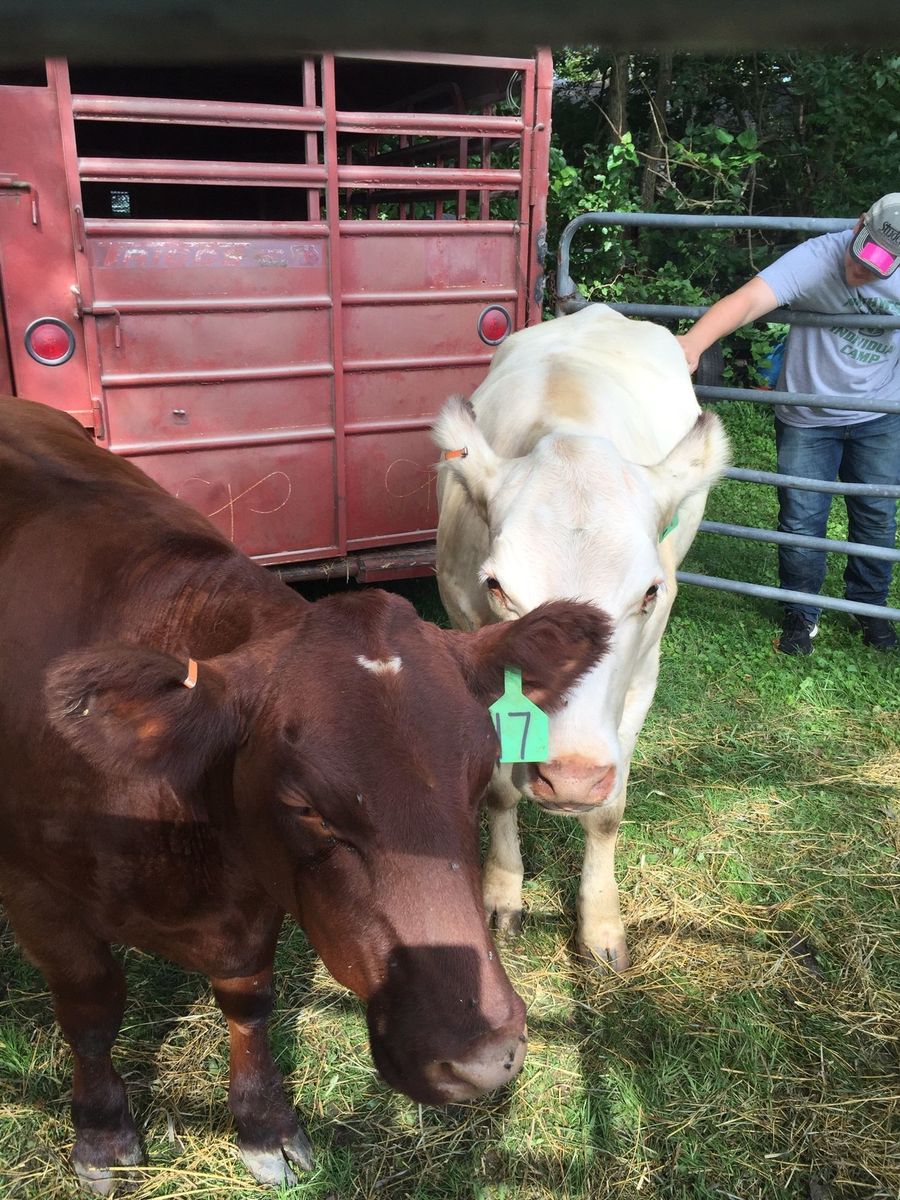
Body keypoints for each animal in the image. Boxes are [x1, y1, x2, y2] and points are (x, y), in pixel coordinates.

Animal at [0, 394, 611, 1194]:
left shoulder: (254, 897)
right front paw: (102, 1133)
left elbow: (248, 1000)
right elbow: (92, 1009)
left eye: (480, 777)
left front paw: (264, 1124)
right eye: (306, 808)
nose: (483, 1058)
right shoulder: (36, 897)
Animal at [434, 304, 730, 971]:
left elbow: (607, 813)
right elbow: (500, 787)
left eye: (649, 592)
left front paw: (600, 924)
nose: (569, 776)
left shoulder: (644, 676)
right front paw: (502, 891)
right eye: (497, 586)